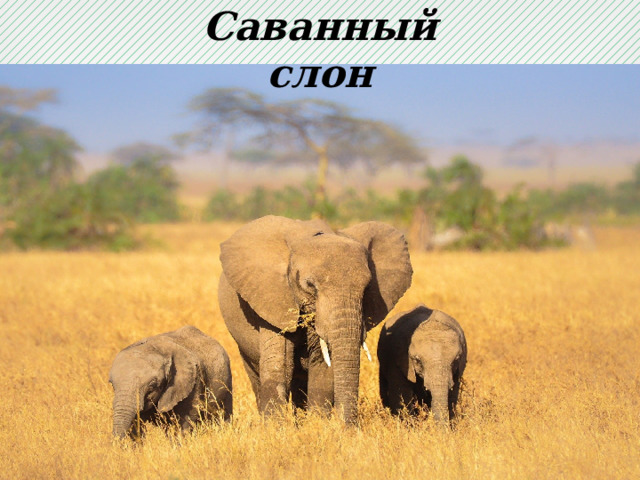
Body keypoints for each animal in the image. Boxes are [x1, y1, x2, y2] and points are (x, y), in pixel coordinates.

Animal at [218, 215, 412, 425]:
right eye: (310, 285)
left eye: (367, 287)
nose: (347, 427)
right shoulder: (272, 298)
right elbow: (281, 365)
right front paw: (275, 427)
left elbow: (322, 365)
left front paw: (317, 425)